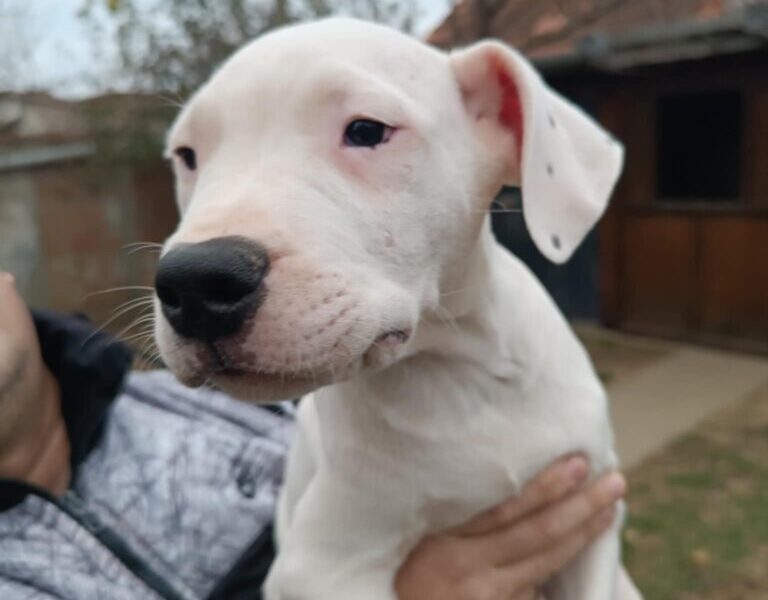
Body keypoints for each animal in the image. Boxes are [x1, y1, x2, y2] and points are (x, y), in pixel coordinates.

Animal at [156, 18, 632, 600]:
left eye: (365, 130)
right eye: (187, 155)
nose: (194, 283)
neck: (456, 375)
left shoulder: (595, 513)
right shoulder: (324, 565)